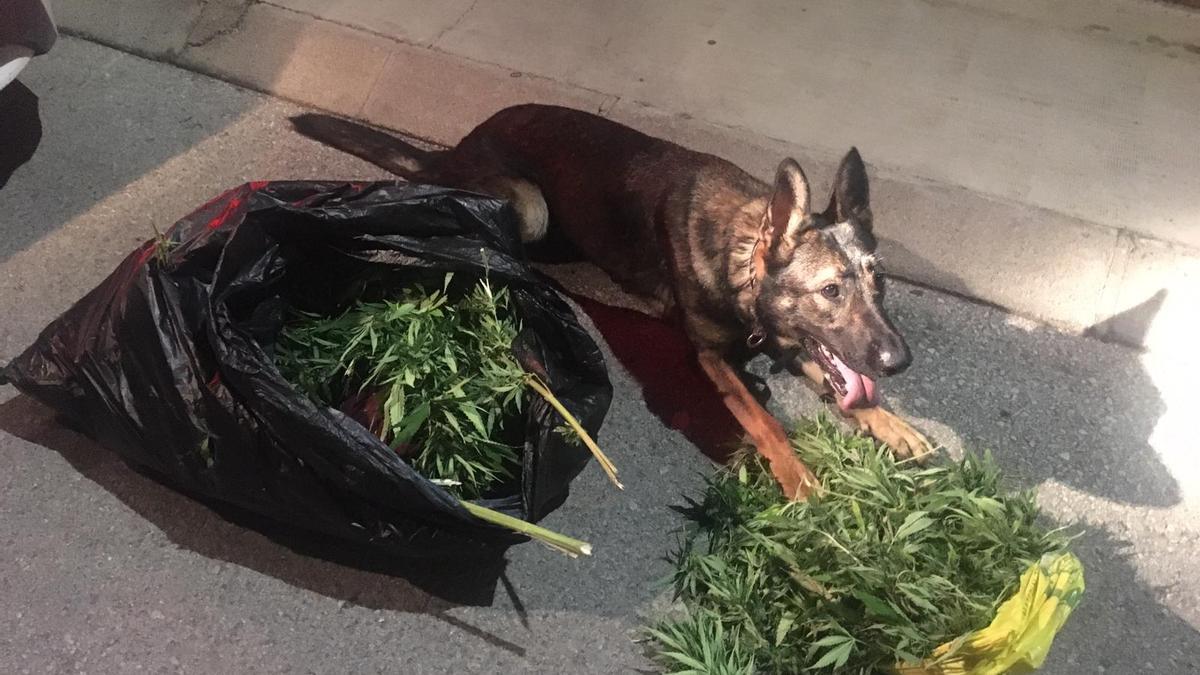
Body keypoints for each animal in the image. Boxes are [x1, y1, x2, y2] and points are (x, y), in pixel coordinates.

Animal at [290, 103, 926, 494]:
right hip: (530, 205)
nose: (900, 361)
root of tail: (452, 151)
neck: (744, 255)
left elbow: (845, 386)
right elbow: (764, 422)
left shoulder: (791, 341)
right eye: (830, 290)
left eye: (879, 282)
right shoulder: (710, 357)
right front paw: (800, 480)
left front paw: (891, 423)